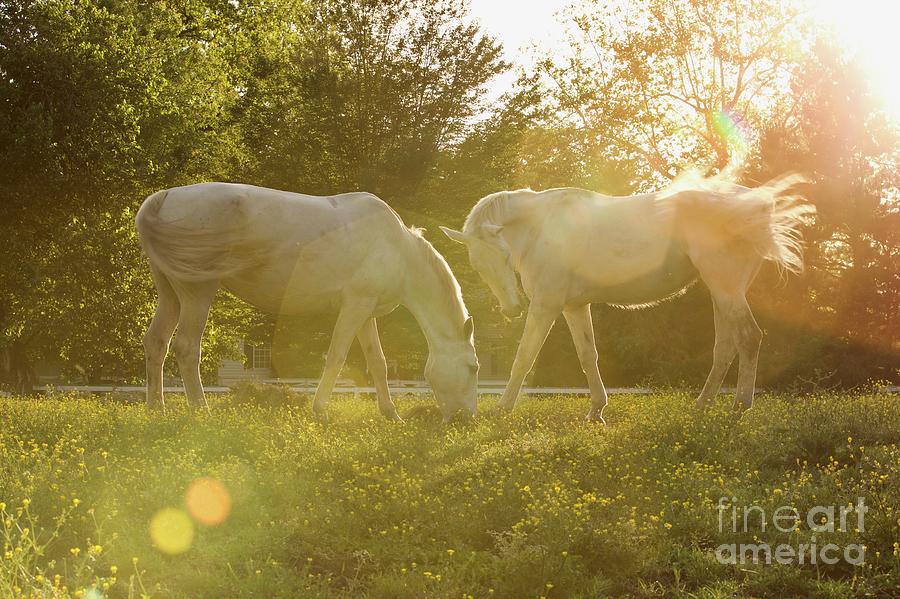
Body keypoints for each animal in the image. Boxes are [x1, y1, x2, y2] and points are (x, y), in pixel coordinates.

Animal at [137, 183, 478, 422]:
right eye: (473, 367)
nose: (467, 419)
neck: (398, 249)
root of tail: (164, 197)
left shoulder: (366, 312)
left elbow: (378, 363)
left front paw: (391, 414)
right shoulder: (354, 306)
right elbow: (337, 357)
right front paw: (320, 410)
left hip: (170, 295)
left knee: (157, 342)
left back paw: (157, 409)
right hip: (198, 293)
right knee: (186, 347)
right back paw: (201, 409)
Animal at [440, 171, 812, 420]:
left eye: (504, 255)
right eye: (477, 265)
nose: (512, 309)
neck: (543, 225)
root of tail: (753, 205)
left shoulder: (546, 306)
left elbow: (524, 357)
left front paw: (503, 408)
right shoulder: (574, 307)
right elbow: (587, 356)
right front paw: (596, 411)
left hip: (726, 288)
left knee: (749, 338)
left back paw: (740, 406)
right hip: (722, 292)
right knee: (725, 347)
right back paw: (702, 405)